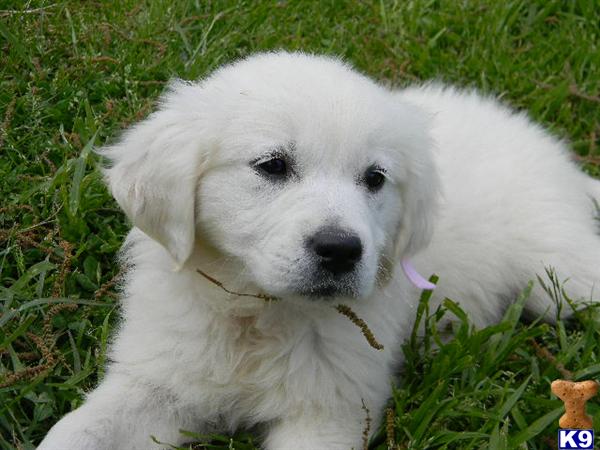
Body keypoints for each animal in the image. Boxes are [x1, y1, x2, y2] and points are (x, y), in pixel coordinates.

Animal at [37, 51, 600, 448]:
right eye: (271, 165)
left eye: (375, 178)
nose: (341, 251)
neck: (256, 314)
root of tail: (558, 159)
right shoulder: (154, 379)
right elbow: (76, 431)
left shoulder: (332, 409)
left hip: (560, 277)